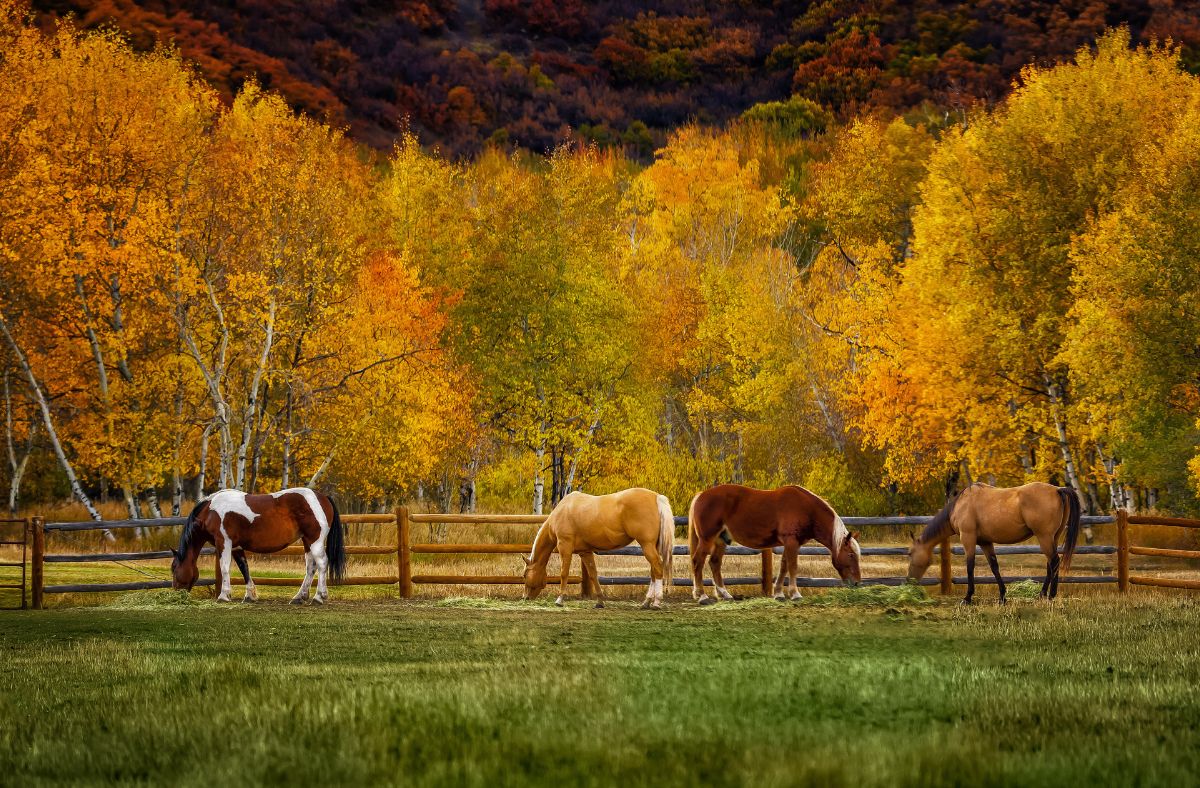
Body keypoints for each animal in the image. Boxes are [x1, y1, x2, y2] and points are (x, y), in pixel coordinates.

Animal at [170, 487, 346, 604]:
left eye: (173, 569)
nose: (176, 592)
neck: (210, 511)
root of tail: (322, 497)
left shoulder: (224, 542)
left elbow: (225, 567)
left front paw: (224, 595)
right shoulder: (236, 547)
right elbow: (244, 568)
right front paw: (249, 596)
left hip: (315, 540)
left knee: (322, 563)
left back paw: (319, 597)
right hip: (307, 541)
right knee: (311, 567)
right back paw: (299, 597)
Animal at [521, 488, 675, 609]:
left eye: (524, 575)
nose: (525, 597)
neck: (562, 511)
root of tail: (657, 497)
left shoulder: (565, 547)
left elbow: (564, 573)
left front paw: (560, 599)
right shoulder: (585, 552)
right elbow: (593, 575)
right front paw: (600, 601)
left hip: (646, 545)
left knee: (657, 568)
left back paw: (656, 602)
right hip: (652, 546)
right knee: (654, 571)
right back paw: (646, 602)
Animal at [688, 484, 862, 605]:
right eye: (851, 554)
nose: (857, 583)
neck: (806, 508)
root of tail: (701, 495)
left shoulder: (791, 544)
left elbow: (784, 566)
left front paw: (779, 594)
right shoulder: (791, 542)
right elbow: (792, 566)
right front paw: (795, 594)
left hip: (721, 540)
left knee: (714, 563)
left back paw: (725, 594)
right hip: (707, 539)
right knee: (698, 562)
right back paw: (702, 596)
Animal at [907, 482, 1081, 603]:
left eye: (910, 554)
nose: (909, 581)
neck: (961, 504)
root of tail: (1057, 489)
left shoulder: (968, 539)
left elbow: (970, 566)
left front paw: (967, 598)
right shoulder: (985, 542)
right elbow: (994, 567)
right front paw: (1002, 597)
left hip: (1044, 537)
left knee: (1054, 562)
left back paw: (1048, 595)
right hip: (1053, 537)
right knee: (1051, 564)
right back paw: (1044, 595)